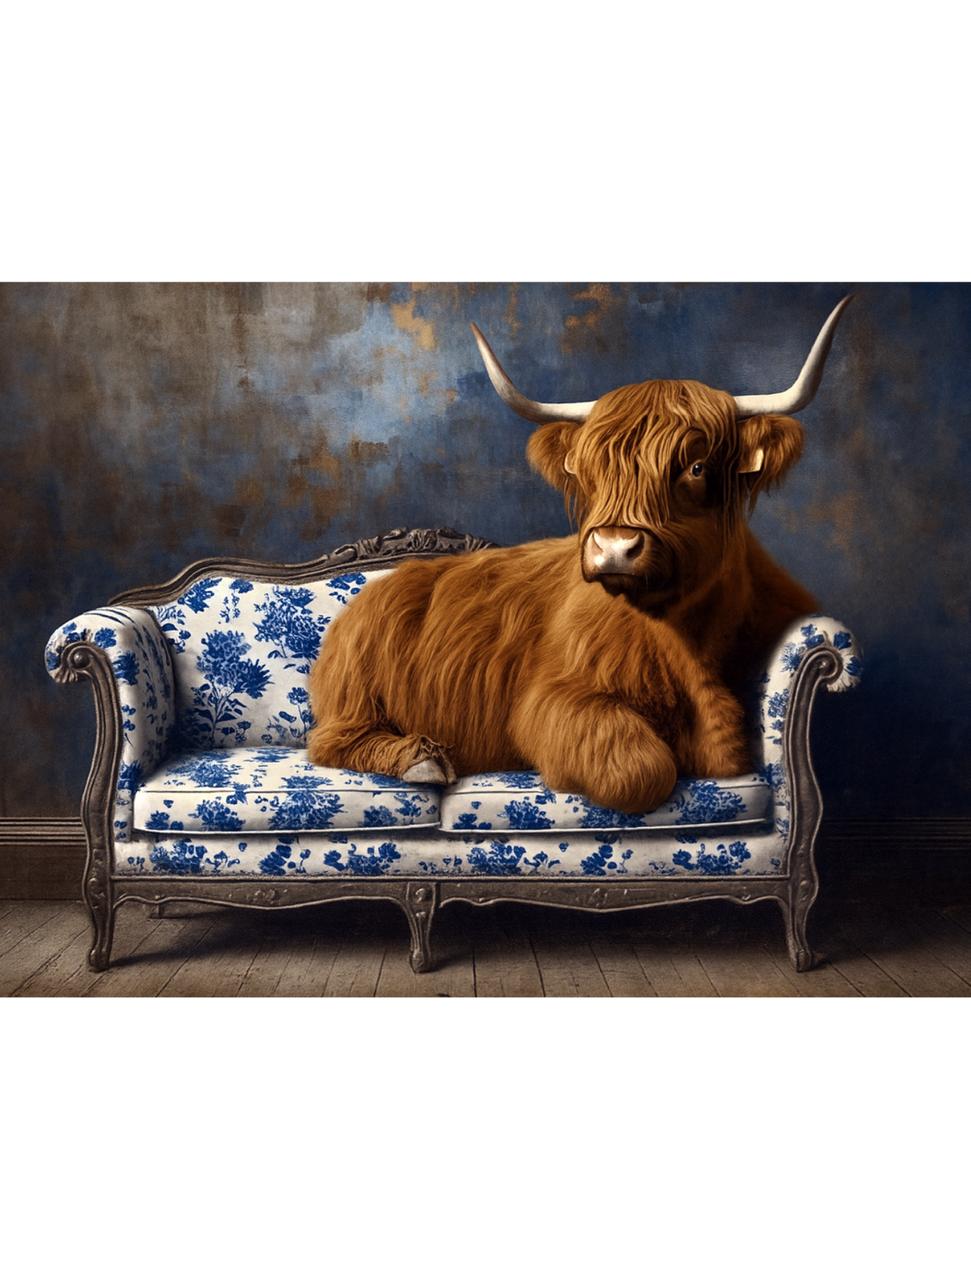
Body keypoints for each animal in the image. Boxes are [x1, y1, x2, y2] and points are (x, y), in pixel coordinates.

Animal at [307, 297, 851, 813]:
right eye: (589, 470)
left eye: (696, 467)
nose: (614, 547)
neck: (686, 643)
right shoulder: (552, 697)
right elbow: (642, 767)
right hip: (356, 696)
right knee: (330, 741)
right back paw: (420, 758)